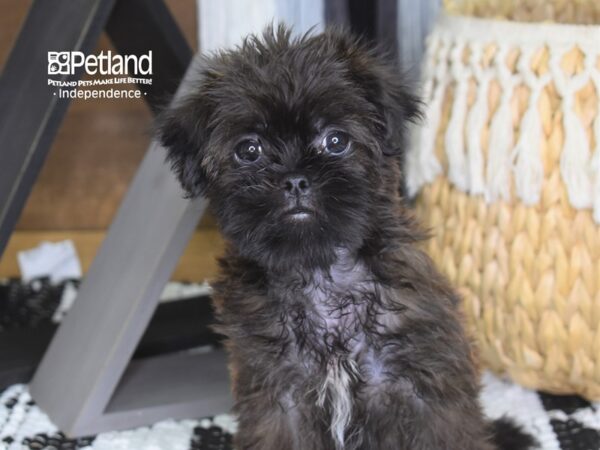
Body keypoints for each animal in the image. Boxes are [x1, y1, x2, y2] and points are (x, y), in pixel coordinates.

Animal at [157, 23, 536, 450]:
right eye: (249, 150)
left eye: (335, 141)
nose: (295, 179)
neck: (322, 276)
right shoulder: (279, 399)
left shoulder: (425, 393)